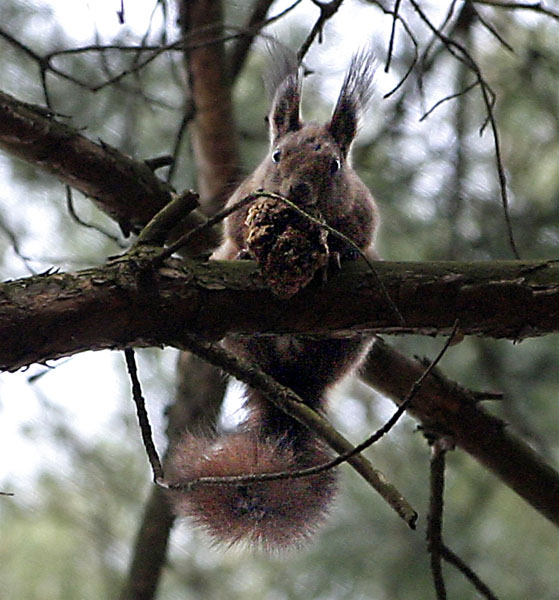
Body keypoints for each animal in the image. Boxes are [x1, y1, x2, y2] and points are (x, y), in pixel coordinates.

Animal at [165, 47, 376, 552]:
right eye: (277, 155)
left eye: (335, 165)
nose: (297, 191)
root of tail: (289, 387)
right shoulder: (239, 205)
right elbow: (234, 231)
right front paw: (249, 249)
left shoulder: (365, 218)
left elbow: (360, 239)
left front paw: (335, 253)